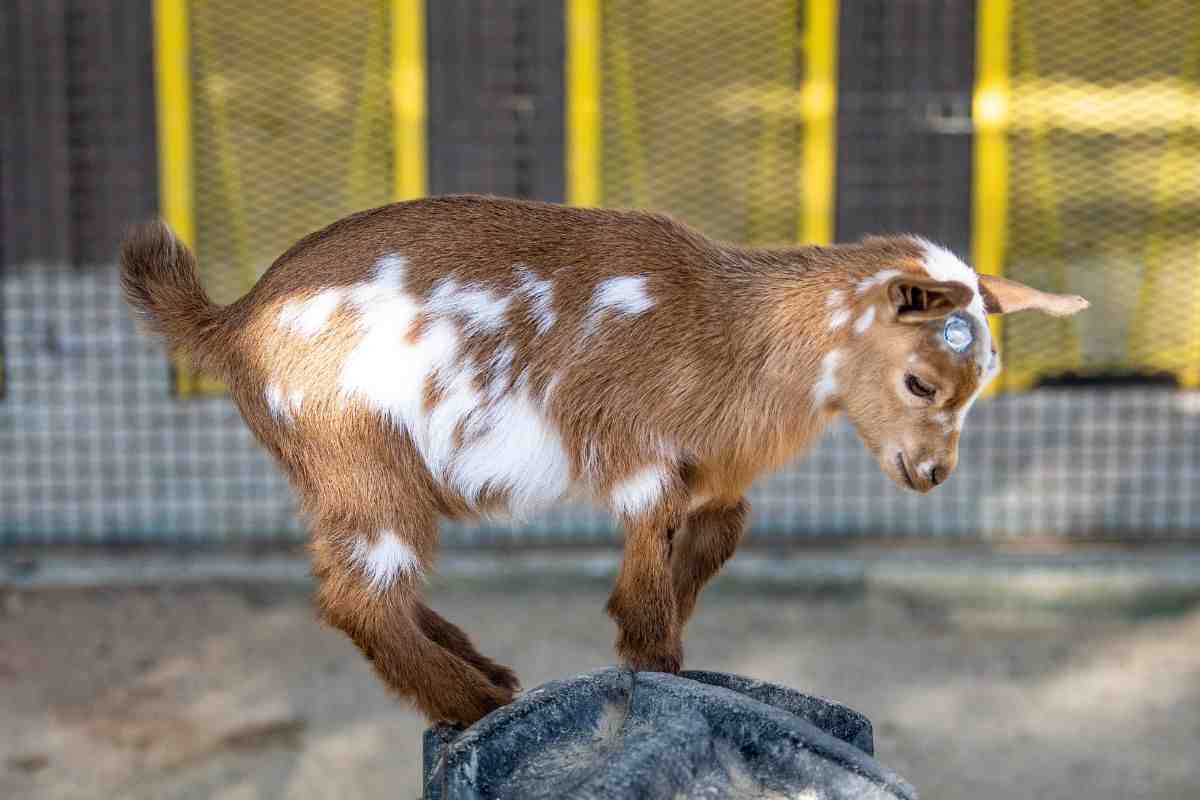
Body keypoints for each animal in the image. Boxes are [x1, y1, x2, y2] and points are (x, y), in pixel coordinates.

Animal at [119, 195, 1089, 724]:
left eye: (985, 379)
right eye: (922, 381)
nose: (932, 475)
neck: (735, 330)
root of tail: (231, 321)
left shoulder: (708, 472)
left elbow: (722, 532)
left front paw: (653, 636)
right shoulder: (641, 455)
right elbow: (651, 553)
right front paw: (654, 656)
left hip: (348, 479)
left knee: (357, 588)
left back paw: (486, 670)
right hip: (363, 459)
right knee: (360, 596)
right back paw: (477, 703)